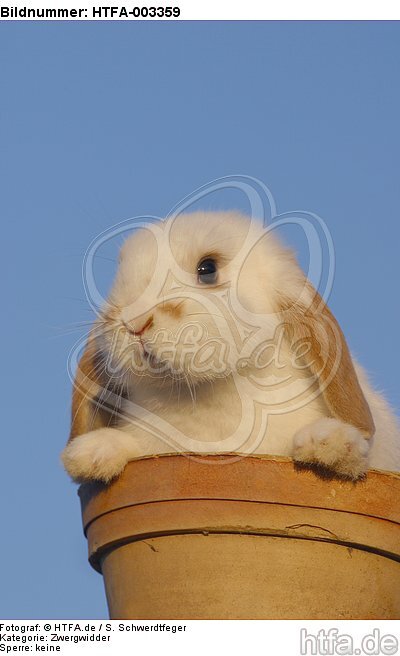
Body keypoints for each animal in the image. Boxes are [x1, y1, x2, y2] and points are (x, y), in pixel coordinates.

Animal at [61, 210, 400, 483]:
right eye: (119, 274)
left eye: (208, 268)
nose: (134, 322)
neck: (202, 395)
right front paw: (92, 453)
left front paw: (328, 443)